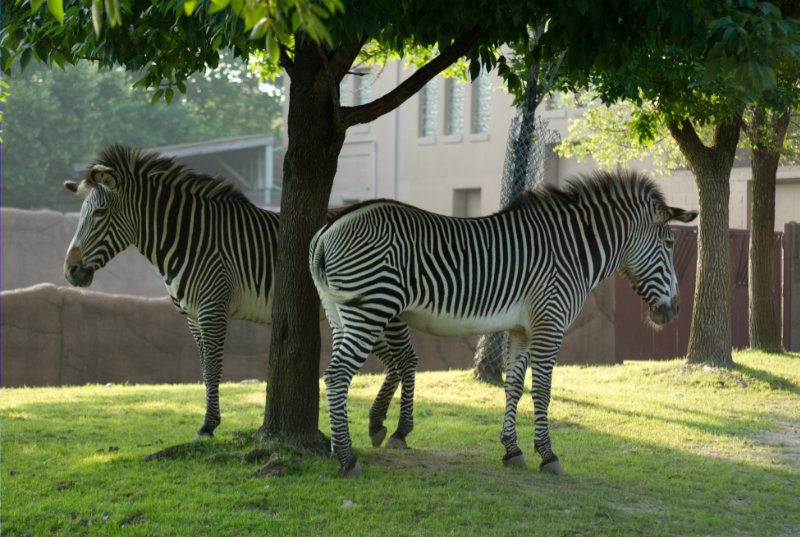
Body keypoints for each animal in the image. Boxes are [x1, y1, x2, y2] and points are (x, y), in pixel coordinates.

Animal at [62, 143, 418, 440]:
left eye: (99, 213)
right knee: (394, 361)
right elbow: (205, 370)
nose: (69, 271)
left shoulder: (213, 308)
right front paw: (208, 422)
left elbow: (214, 367)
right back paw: (377, 423)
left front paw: (208, 425)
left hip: (381, 309)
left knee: (407, 358)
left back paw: (399, 430)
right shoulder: (192, 316)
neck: (190, 239)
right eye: (80, 214)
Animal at [310, 170, 696, 476]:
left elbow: (513, 386)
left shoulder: (521, 328)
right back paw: (347, 460)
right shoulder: (549, 323)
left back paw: (340, 448)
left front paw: (512, 449)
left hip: (339, 313)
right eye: (669, 242)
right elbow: (542, 390)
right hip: (371, 307)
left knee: (347, 371)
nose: (675, 310)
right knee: (338, 375)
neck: (572, 249)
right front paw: (548, 455)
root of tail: (328, 229)